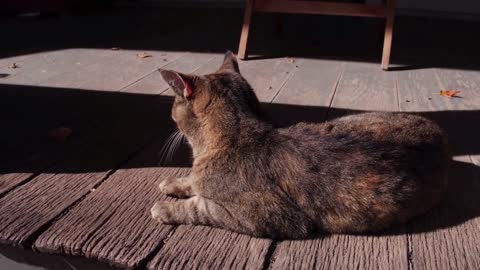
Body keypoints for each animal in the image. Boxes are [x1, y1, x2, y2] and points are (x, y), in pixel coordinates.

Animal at [151, 51, 450, 239]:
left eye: (174, 104)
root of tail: (439, 132)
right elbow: (192, 182)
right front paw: (175, 182)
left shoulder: (265, 215)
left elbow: (199, 207)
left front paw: (165, 208)